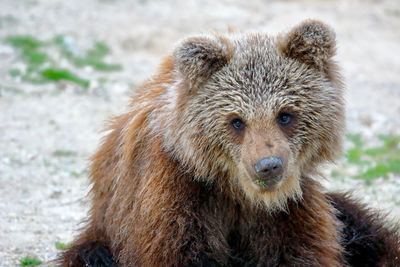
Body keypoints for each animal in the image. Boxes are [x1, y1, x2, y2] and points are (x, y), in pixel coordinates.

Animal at [58, 19, 400, 266]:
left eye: (285, 115)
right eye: (237, 121)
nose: (268, 166)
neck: (239, 194)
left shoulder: (291, 208)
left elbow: (302, 251)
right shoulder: (175, 191)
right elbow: (180, 250)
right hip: (102, 235)